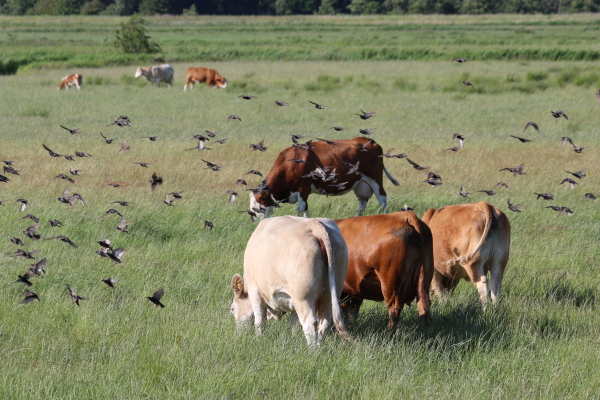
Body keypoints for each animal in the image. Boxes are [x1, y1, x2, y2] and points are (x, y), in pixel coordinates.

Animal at [230, 216, 352, 347]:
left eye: (232, 309)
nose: (239, 333)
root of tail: (314, 224)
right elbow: (294, 323)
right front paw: (294, 339)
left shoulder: (255, 291)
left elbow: (260, 321)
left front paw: (259, 340)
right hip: (329, 294)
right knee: (324, 323)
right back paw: (319, 346)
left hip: (303, 297)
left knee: (310, 323)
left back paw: (312, 349)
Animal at [249, 137, 399, 218]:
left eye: (258, 208)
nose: (256, 223)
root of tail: (369, 140)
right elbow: (306, 209)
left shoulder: (303, 188)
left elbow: (300, 210)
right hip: (361, 183)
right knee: (362, 203)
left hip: (375, 178)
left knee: (382, 199)